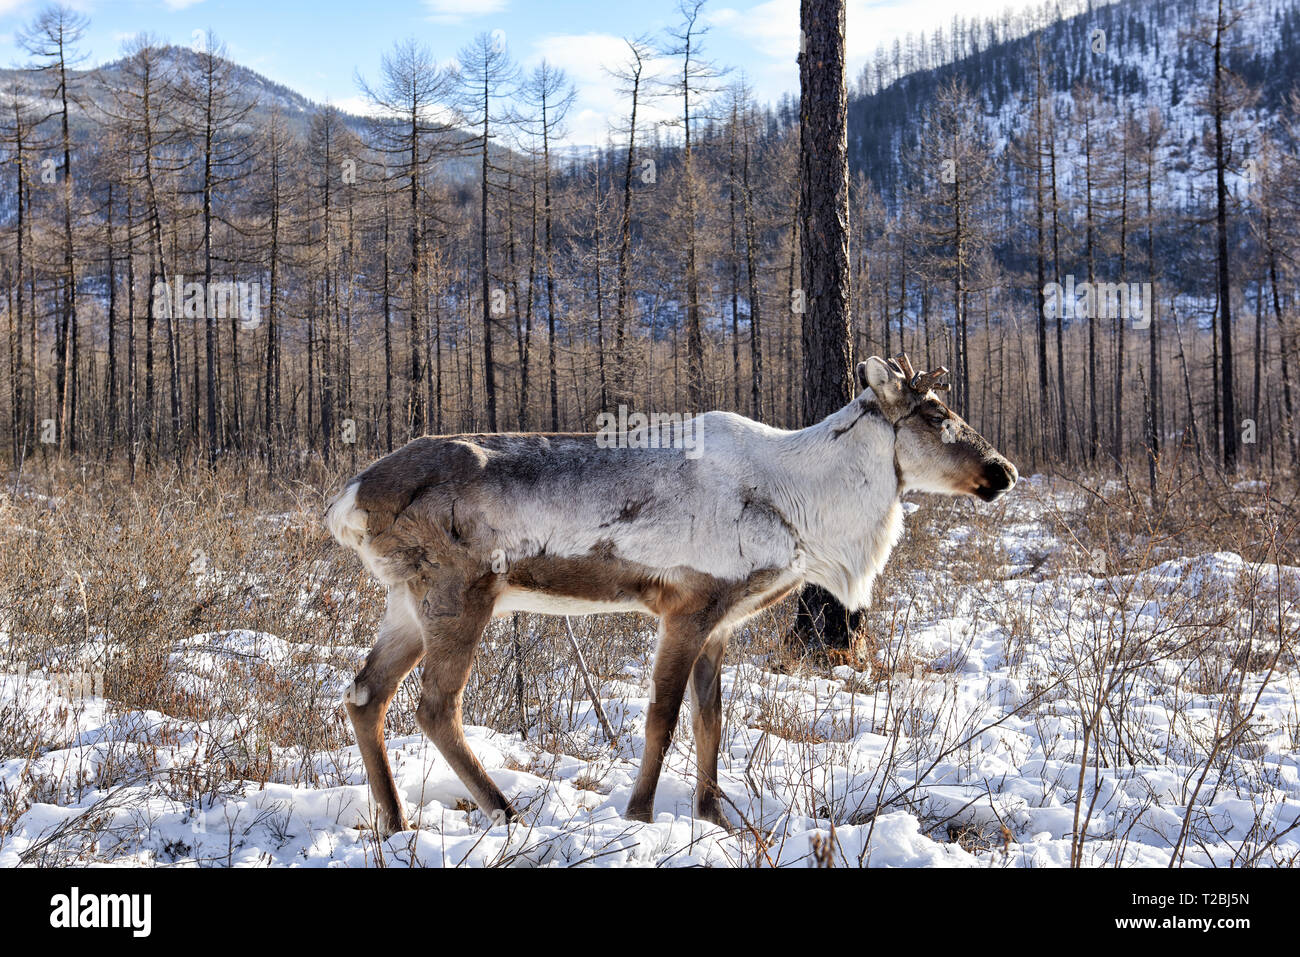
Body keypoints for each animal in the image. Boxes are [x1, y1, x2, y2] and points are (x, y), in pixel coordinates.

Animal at [325, 354, 1017, 837]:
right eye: (937, 415)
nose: (1004, 470)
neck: (806, 511)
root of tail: (347, 500)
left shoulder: (721, 622)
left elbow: (711, 721)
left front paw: (717, 817)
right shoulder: (686, 607)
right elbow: (662, 717)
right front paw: (639, 813)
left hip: (406, 602)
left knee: (364, 693)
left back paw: (397, 823)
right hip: (459, 592)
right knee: (435, 706)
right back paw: (506, 813)